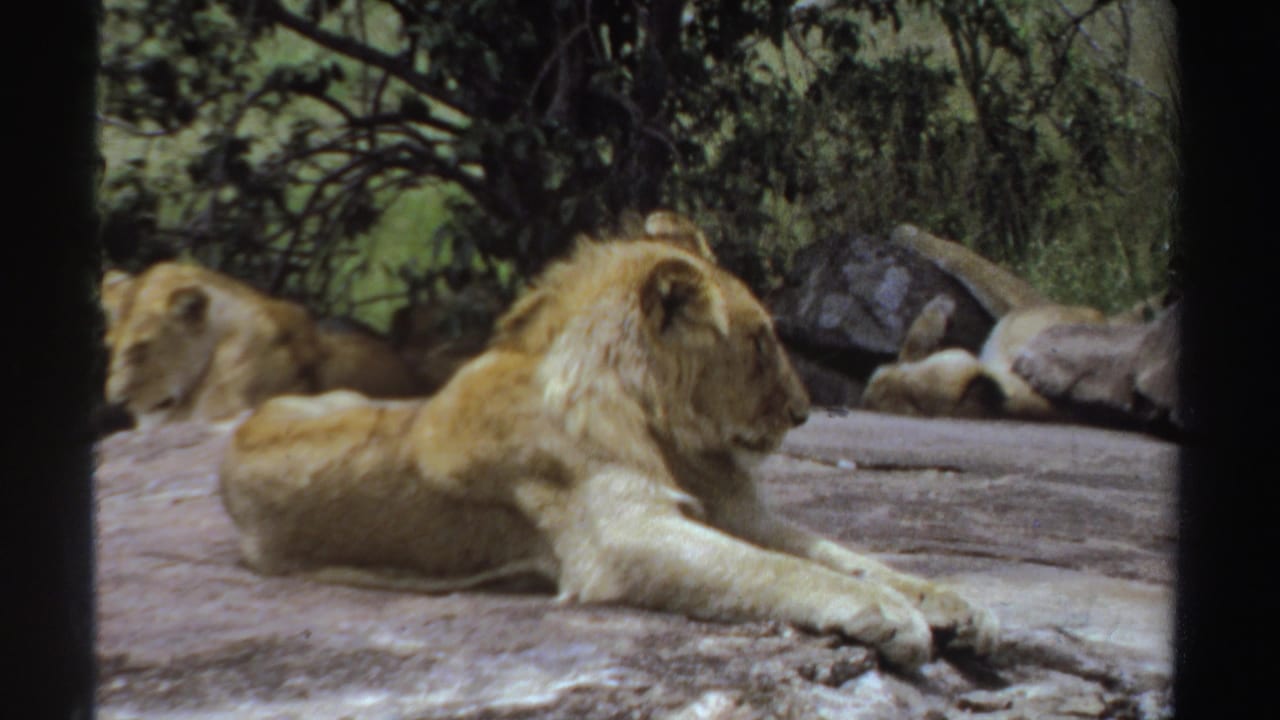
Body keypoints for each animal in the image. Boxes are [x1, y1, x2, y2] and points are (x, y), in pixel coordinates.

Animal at [220, 229, 997, 670]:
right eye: (757, 341)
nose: (804, 412)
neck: (663, 427)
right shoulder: (623, 535)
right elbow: (779, 571)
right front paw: (894, 618)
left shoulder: (735, 512)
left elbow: (842, 554)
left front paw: (953, 603)